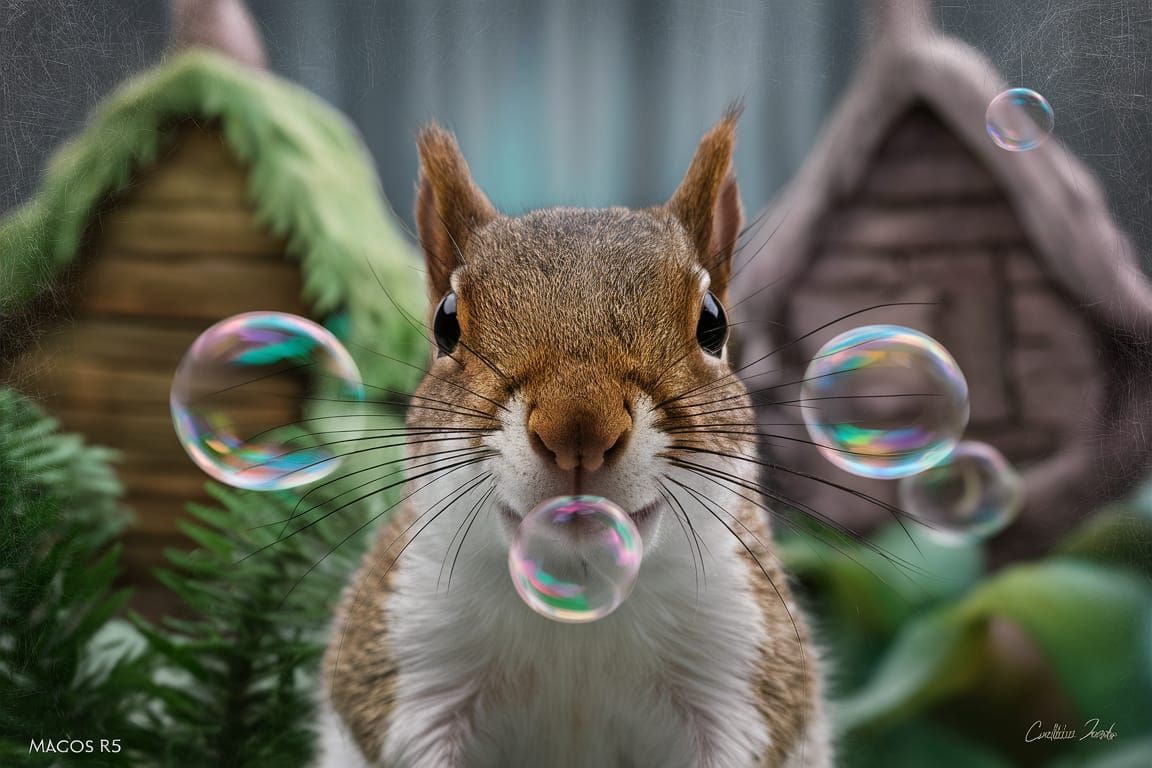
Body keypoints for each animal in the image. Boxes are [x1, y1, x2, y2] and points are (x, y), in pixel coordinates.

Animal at [317, 111, 831, 768]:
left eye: (712, 323)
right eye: (446, 322)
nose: (578, 427)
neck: (576, 600)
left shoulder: (736, 668)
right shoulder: (416, 662)